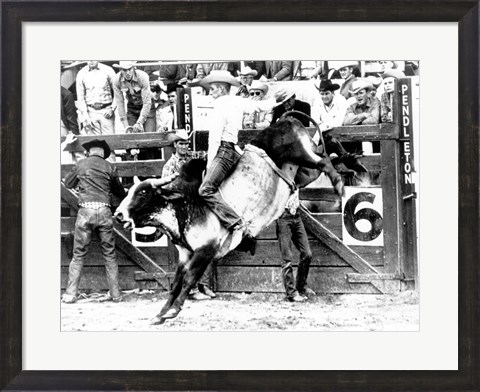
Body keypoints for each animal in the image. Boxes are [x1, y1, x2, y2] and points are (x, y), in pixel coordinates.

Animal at [116, 117, 344, 324]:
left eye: (143, 193)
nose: (118, 214)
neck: (185, 203)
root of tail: (287, 119)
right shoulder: (185, 253)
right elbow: (176, 282)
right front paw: (161, 313)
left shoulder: (206, 250)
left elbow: (189, 279)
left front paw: (173, 310)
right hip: (303, 173)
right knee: (323, 158)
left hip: (301, 154)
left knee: (323, 161)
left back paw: (340, 183)